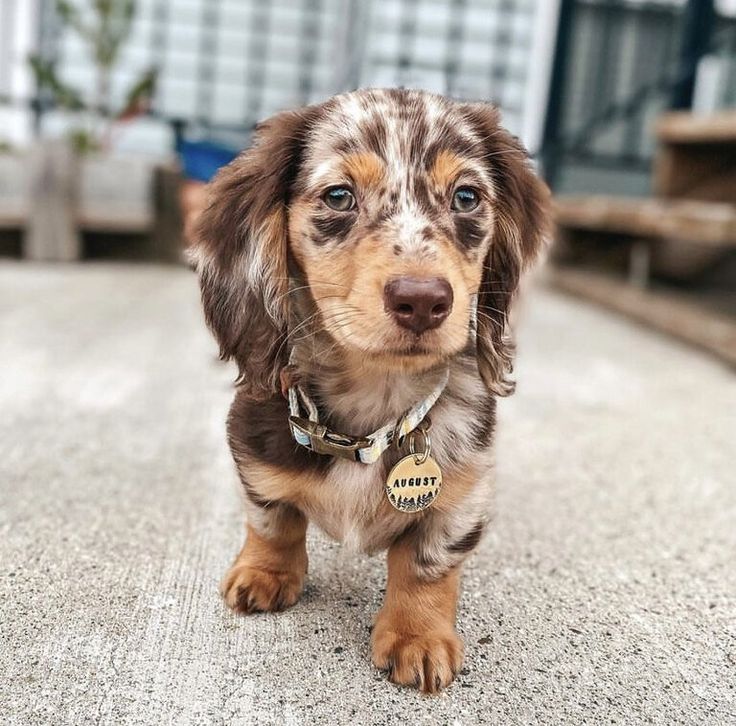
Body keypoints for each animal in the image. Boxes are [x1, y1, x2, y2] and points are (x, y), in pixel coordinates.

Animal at [193, 89, 548, 692]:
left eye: (467, 197)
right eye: (338, 196)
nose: (423, 300)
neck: (374, 407)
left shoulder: (464, 493)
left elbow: (427, 563)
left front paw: (418, 636)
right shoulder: (253, 454)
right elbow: (271, 520)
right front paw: (263, 573)